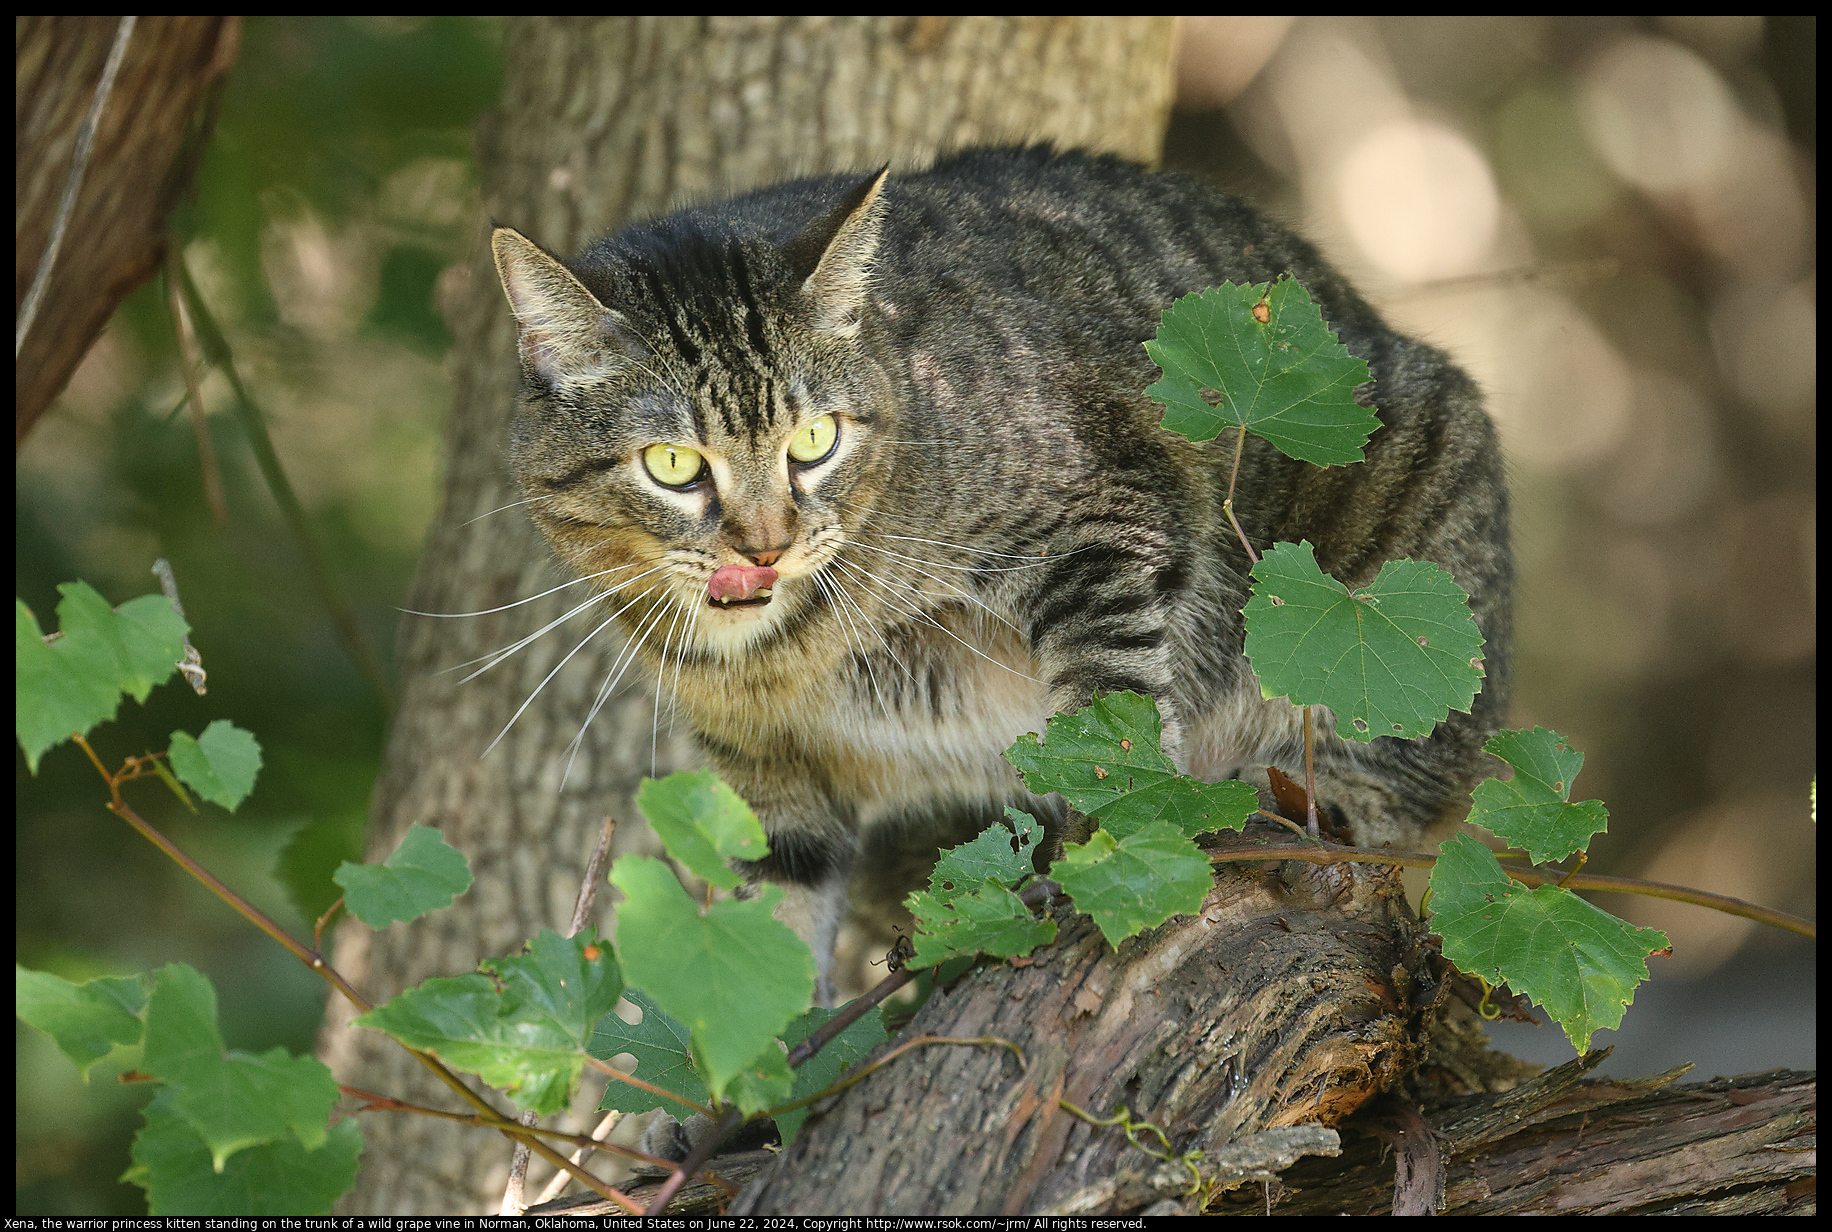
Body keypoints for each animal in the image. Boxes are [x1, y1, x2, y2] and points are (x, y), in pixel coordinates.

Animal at [494, 144, 1509, 997]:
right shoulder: (769, 771)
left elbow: (1111, 726)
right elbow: (765, 935)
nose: (767, 544)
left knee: (1408, 783)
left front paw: (1114, 857)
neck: (794, 650)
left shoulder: (1098, 522)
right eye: (673, 464)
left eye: (814, 441)